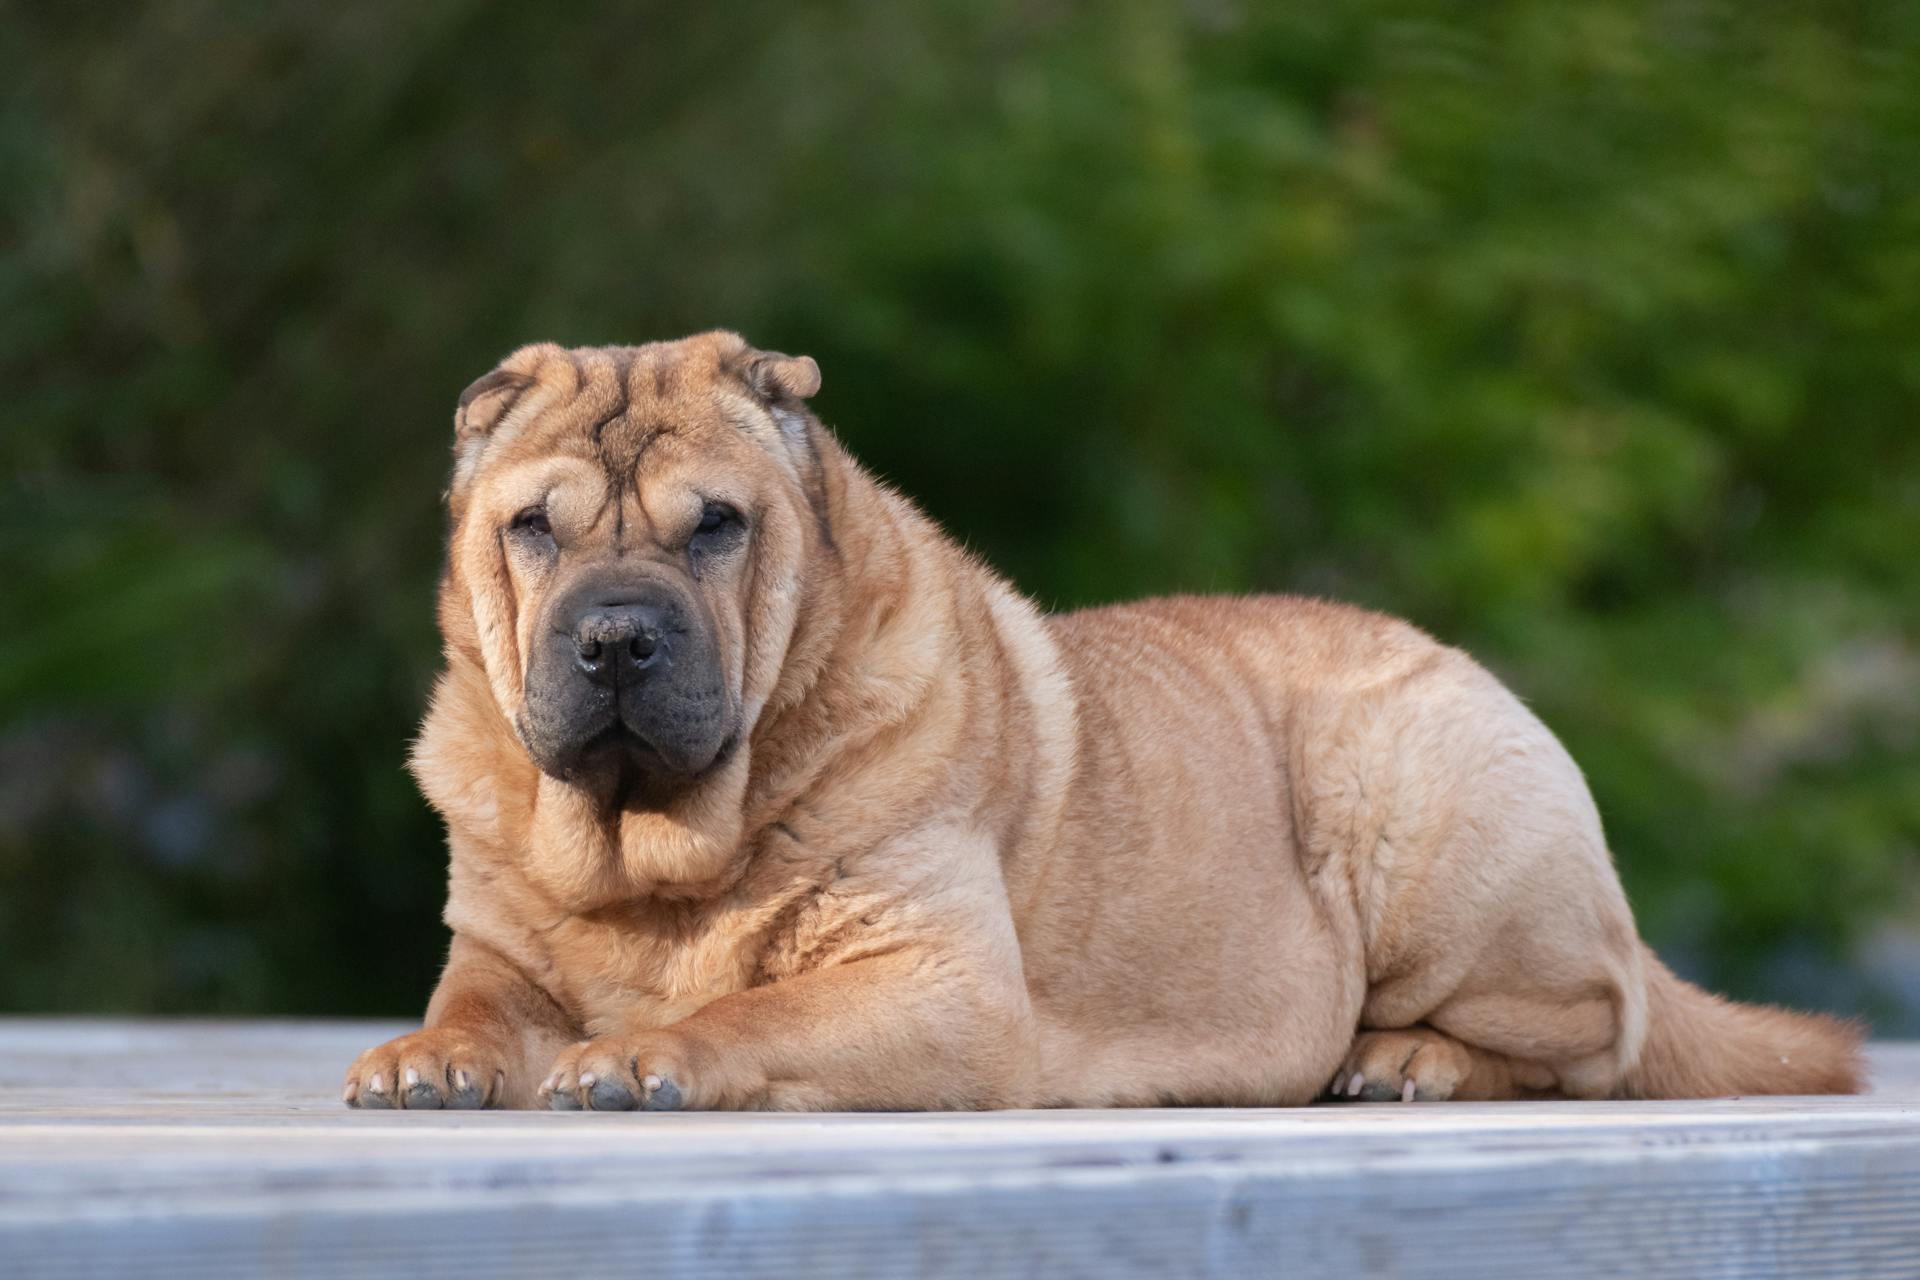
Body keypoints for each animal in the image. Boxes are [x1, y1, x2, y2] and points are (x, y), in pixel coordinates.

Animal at [341, 330, 1858, 1113]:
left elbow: (751, 1011)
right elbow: (474, 1003)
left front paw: (643, 1053)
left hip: (1433, 818)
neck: (654, 850)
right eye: (533, 529)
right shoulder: (498, 953)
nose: (613, 635)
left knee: (1592, 1037)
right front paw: (424, 1060)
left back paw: (1404, 1059)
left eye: (717, 526)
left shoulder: (938, 986)